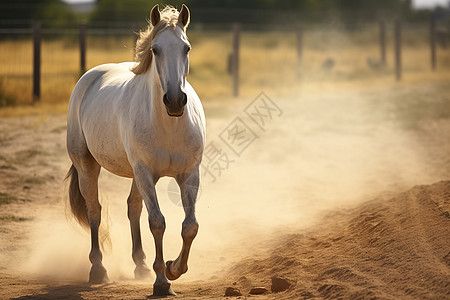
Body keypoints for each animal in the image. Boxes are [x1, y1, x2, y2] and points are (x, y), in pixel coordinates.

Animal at [65, 4, 206, 296]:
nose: (175, 101)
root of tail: (89, 77)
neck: (169, 125)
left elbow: (190, 226)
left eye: (186, 48)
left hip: (136, 176)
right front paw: (162, 281)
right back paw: (98, 270)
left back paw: (140, 266)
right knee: (94, 210)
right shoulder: (145, 173)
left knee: (133, 208)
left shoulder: (189, 174)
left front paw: (173, 268)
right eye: (156, 49)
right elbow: (158, 222)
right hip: (89, 167)